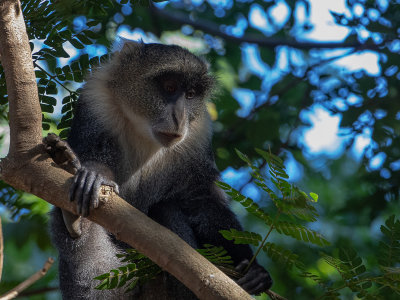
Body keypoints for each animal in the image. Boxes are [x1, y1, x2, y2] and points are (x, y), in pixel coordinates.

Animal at [47, 41, 272, 298]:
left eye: (191, 94)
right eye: (170, 87)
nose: (179, 117)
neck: (143, 128)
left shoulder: (198, 134)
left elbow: (202, 199)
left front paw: (254, 270)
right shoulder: (96, 102)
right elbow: (92, 151)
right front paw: (95, 174)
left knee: (165, 207)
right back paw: (74, 219)